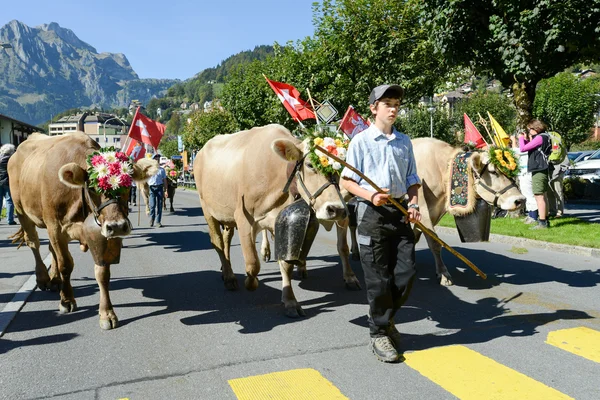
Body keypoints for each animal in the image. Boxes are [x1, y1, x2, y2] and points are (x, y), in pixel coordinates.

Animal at [8, 133, 157, 330]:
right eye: (92, 186)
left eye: (127, 184)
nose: (118, 226)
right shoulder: (55, 227)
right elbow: (65, 264)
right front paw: (66, 300)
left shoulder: (101, 231)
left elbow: (102, 273)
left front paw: (107, 313)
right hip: (22, 211)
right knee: (34, 243)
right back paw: (43, 278)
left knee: (50, 249)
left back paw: (55, 280)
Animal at [195, 123, 350, 318]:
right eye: (309, 164)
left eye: (340, 168)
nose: (337, 209)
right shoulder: (243, 218)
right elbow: (253, 264)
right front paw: (250, 283)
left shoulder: (279, 221)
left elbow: (285, 264)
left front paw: (290, 301)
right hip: (207, 209)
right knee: (217, 241)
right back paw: (230, 278)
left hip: (226, 214)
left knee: (226, 240)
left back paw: (226, 271)